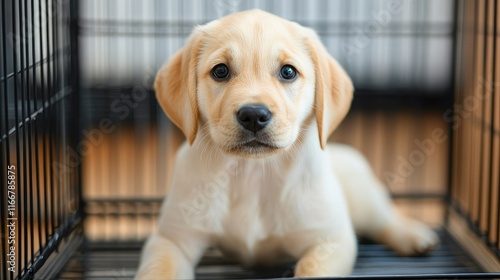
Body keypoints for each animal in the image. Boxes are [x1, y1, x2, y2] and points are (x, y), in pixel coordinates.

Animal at [136, 9, 438, 278]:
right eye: (220, 71)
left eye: (288, 72)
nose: (253, 115)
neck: (253, 174)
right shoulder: (171, 240)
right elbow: (159, 272)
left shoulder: (330, 241)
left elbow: (311, 269)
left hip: (363, 199)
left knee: (386, 216)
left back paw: (414, 236)